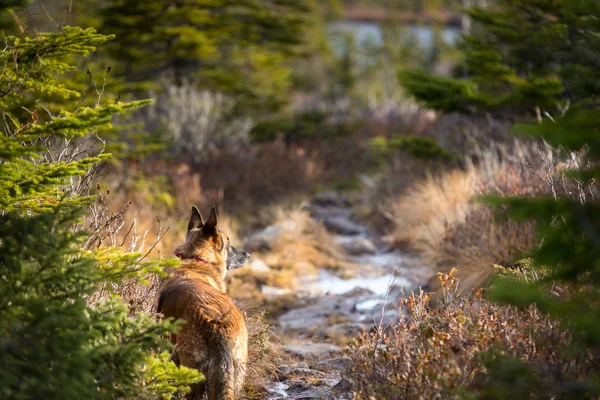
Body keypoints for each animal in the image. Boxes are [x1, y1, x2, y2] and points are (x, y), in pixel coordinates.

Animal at [158, 206, 250, 400]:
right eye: (228, 244)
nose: (248, 255)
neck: (196, 260)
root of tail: (218, 325)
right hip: (234, 375)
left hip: (192, 372)